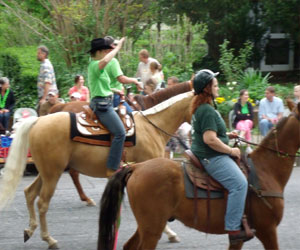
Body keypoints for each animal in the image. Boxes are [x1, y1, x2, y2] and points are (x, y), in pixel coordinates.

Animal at [98, 102, 300, 250]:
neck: (266, 170)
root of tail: (137, 167)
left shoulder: (241, 237)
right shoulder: (267, 230)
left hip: (147, 226)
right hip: (152, 229)